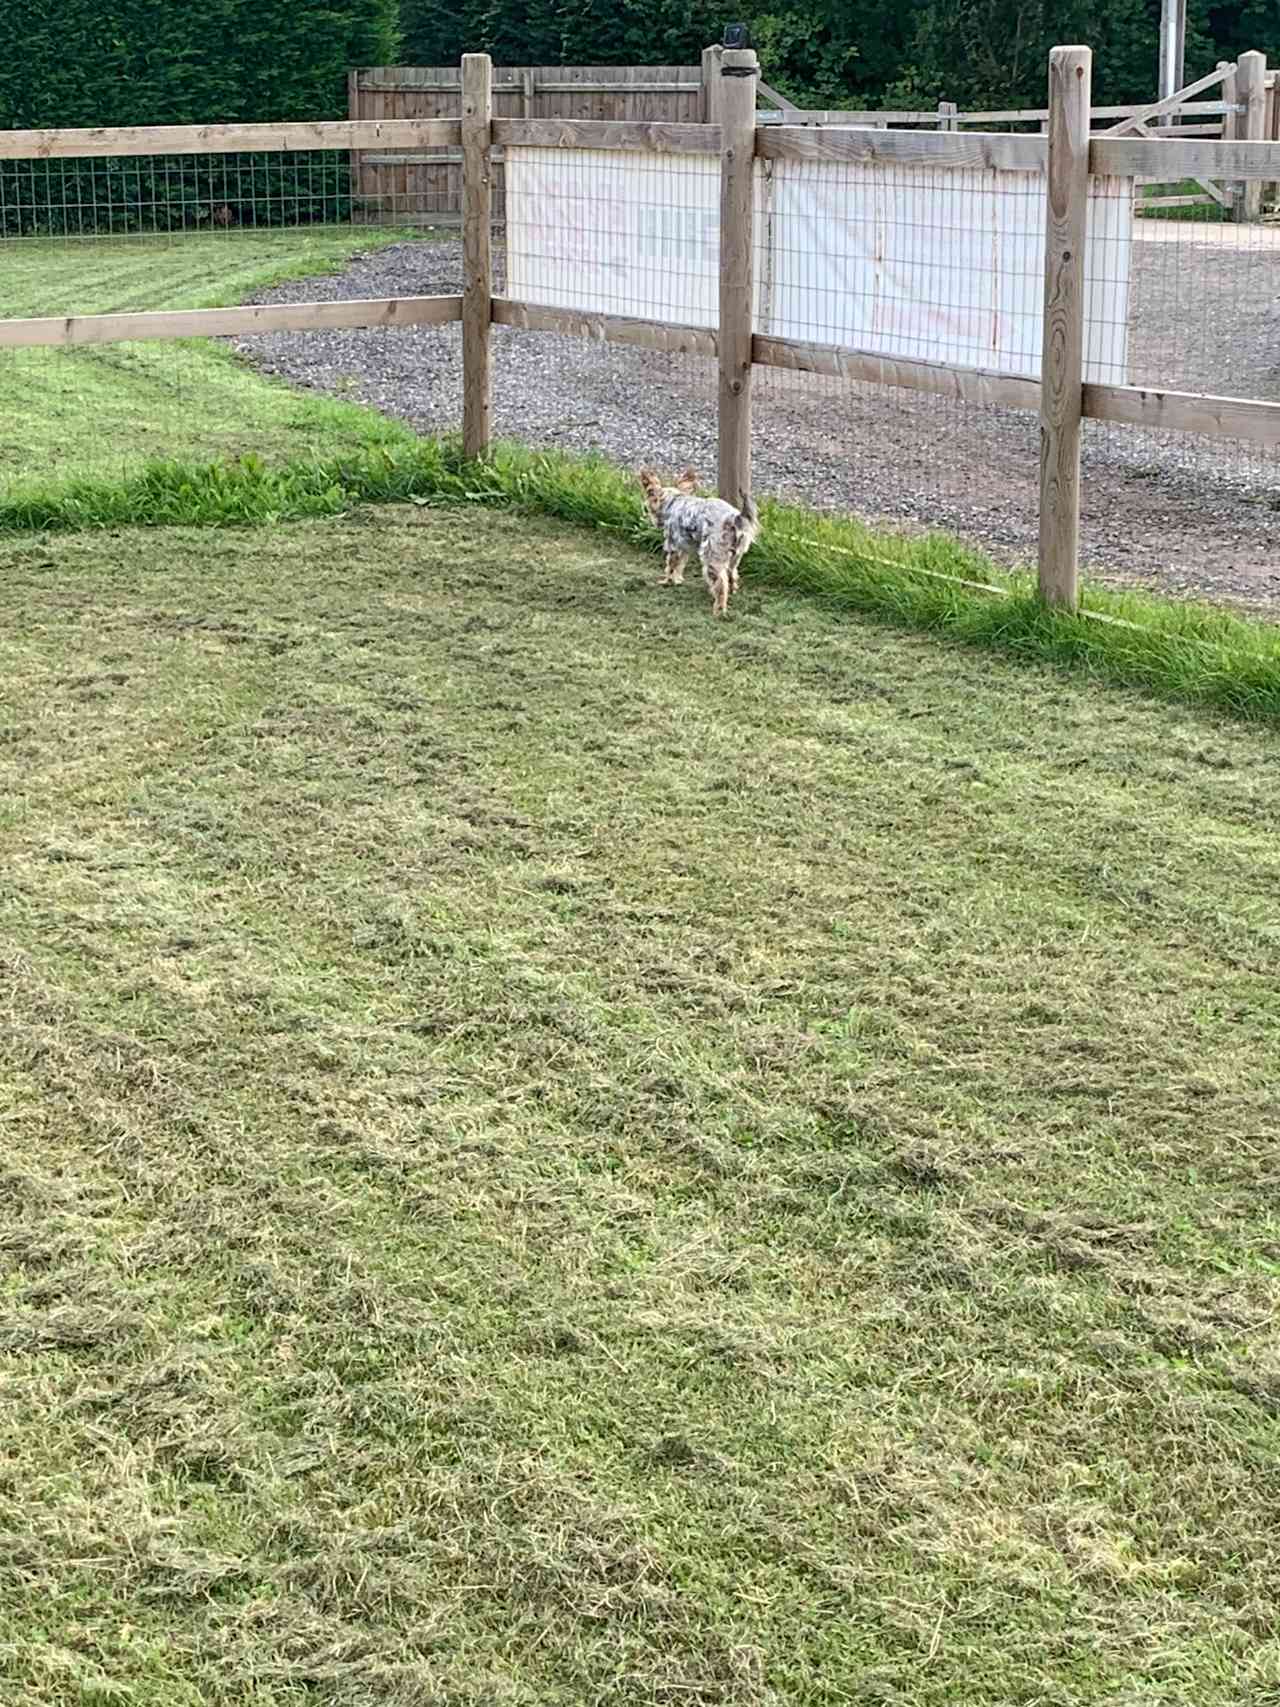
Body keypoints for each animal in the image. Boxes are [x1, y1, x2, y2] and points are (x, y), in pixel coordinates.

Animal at [638, 471, 757, 617]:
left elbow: (670, 565)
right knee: (731, 574)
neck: (673, 502)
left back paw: (718, 608)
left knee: (721, 583)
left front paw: (667, 581)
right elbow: (680, 565)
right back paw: (731, 590)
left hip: (712, 555)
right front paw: (677, 580)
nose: (644, 508)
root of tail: (736, 518)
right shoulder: (684, 547)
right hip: (735, 556)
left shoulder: (674, 545)